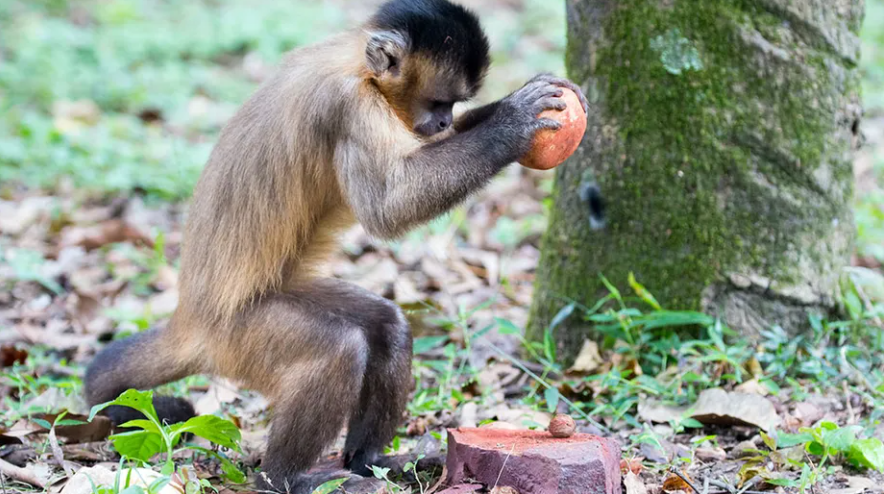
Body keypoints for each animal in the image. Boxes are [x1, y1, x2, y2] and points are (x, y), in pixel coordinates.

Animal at [84, 0, 588, 490]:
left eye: (454, 105)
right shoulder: (349, 105)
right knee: (338, 350)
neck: (355, 64)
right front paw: (512, 123)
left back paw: (369, 462)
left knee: (386, 326)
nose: (444, 118)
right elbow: (389, 206)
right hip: (237, 339)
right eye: (439, 101)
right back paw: (283, 479)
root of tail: (190, 318)